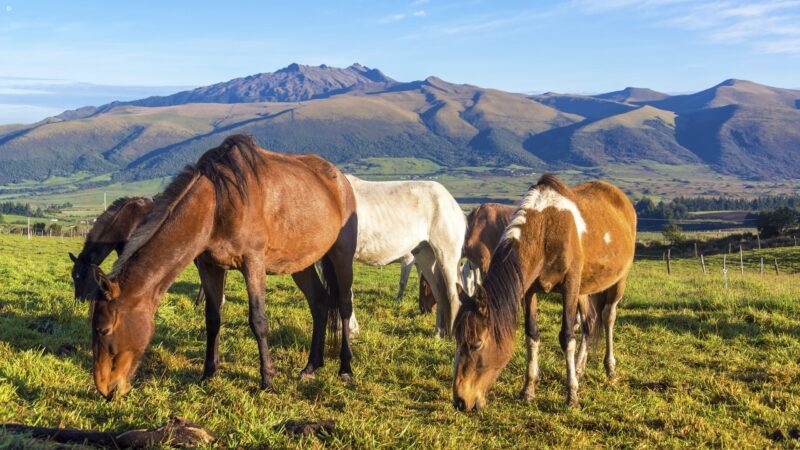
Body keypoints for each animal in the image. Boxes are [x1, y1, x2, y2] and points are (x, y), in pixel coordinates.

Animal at [88, 134, 358, 400]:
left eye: (103, 330)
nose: (106, 389)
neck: (217, 204)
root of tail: (340, 179)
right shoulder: (210, 266)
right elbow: (213, 318)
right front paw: (208, 373)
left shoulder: (253, 263)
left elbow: (258, 321)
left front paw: (267, 381)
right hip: (300, 264)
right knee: (319, 303)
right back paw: (311, 367)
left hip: (341, 256)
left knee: (344, 305)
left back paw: (345, 369)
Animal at [345, 174, 466, 337]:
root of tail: (452, 202)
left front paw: (351, 331)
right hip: (426, 260)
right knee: (439, 293)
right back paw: (437, 333)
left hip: (446, 257)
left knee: (453, 294)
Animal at [452, 174, 636, 410]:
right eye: (457, 340)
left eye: (476, 344)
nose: (460, 400)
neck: (546, 229)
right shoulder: (530, 290)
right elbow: (532, 335)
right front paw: (528, 390)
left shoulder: (569, 288)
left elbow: (567, 337)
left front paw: (572, 395)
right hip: (584, 289)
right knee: (590, 321)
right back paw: (579, 368)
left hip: (617, 282)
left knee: (608, 317)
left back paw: (610, 369)